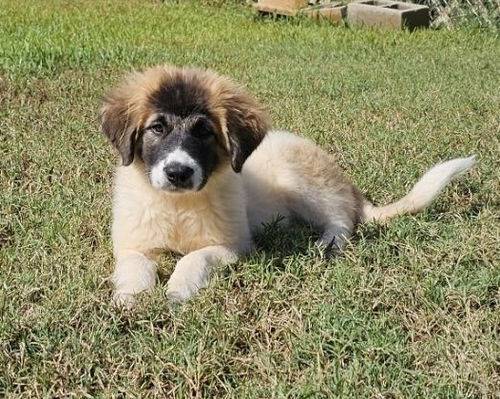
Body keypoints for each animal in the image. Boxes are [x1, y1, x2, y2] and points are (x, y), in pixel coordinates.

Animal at [100, 65, 476, 306]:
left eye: (203, 131)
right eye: (157, 128)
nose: (178, 172)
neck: (178, 206)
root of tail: (348, 185)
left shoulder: (233, 246)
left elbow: (194, 258)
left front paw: (177, 291)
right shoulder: (132, 244)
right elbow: (135, 267)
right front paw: (130, 300)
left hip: (302, 182)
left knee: (343, 219)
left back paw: (328, 243)